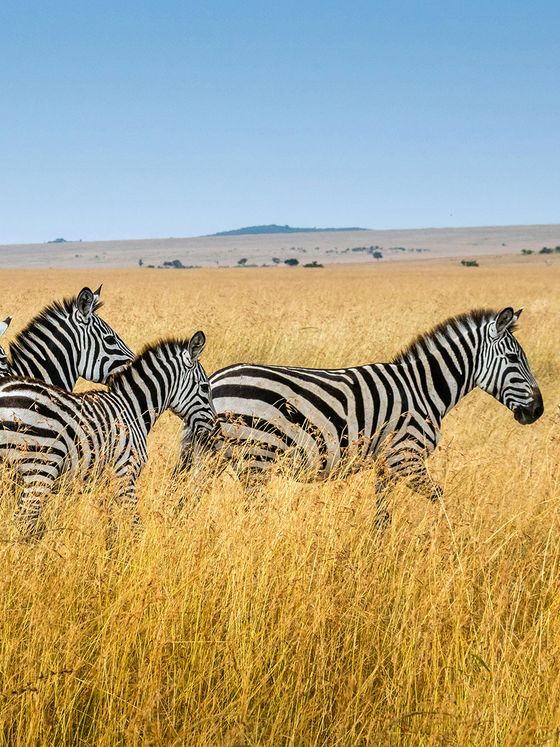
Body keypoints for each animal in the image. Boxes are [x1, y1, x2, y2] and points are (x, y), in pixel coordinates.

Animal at [0, 332, 215, 539]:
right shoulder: (125, 475)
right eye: (205, 387)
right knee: (22, 521)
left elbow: (110, 525)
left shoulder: (106, 482)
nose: (215, 429)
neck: (133, 409)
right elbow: (136, 526)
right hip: (40, 469)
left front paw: (110, 548)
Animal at [180, 307, 543, 517]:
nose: (537, 410)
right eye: (514, 359)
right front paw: (453, 546)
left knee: (186, 503)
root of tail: (214, 380)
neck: (424, 389)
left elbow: (382, 515)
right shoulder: (406, 456)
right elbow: (441, 500)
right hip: (255, 458)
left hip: (211, 459)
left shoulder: (387, 464)